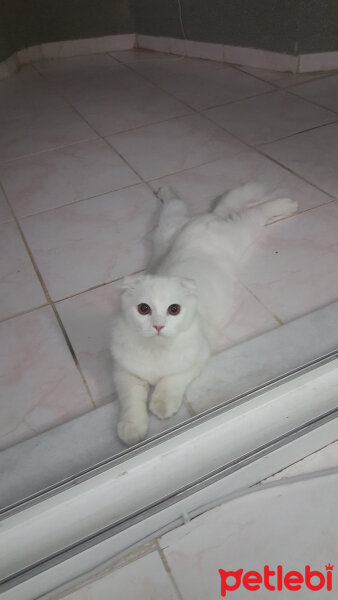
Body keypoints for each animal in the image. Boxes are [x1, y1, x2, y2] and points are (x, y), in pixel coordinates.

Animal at [110, 184, 296, 446]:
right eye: (144, 309)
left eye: (174, 309)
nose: (158, 326)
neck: (156, 350)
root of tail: (207, 219)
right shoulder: (125, 373)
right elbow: (131, 403)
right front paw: (132, 431)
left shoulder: (195, 359)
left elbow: (170, 383)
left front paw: (161, 406)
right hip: (167, 228)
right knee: (176, 203)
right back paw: (164, 190)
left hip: (240, 233)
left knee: (255, 211)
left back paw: (287, 204)